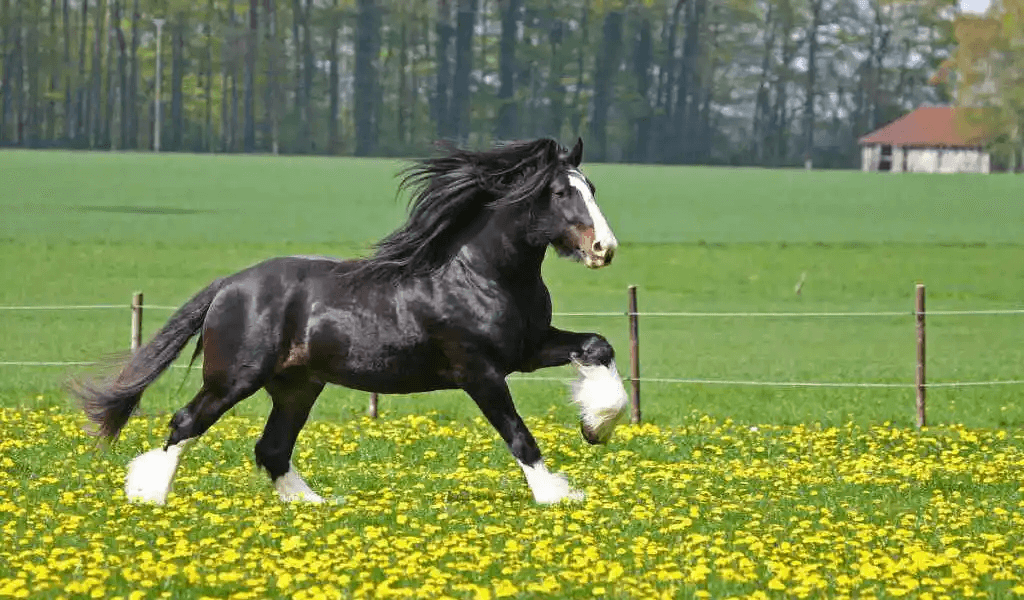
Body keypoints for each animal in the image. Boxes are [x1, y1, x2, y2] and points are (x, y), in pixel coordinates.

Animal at [73, 137, 628, 505]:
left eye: (592, 187)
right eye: (560, 193)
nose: (605, 248)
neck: (480, 273)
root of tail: (229, 285)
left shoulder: (528, 350)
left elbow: (598, 346)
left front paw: (595, 426)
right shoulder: (480, 371)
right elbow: (517, 433)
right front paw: (556, 493)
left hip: (297, 385)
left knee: (272, 447)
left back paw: (313, 506)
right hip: (234, 378)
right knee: (185, 423)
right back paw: (148, 494)